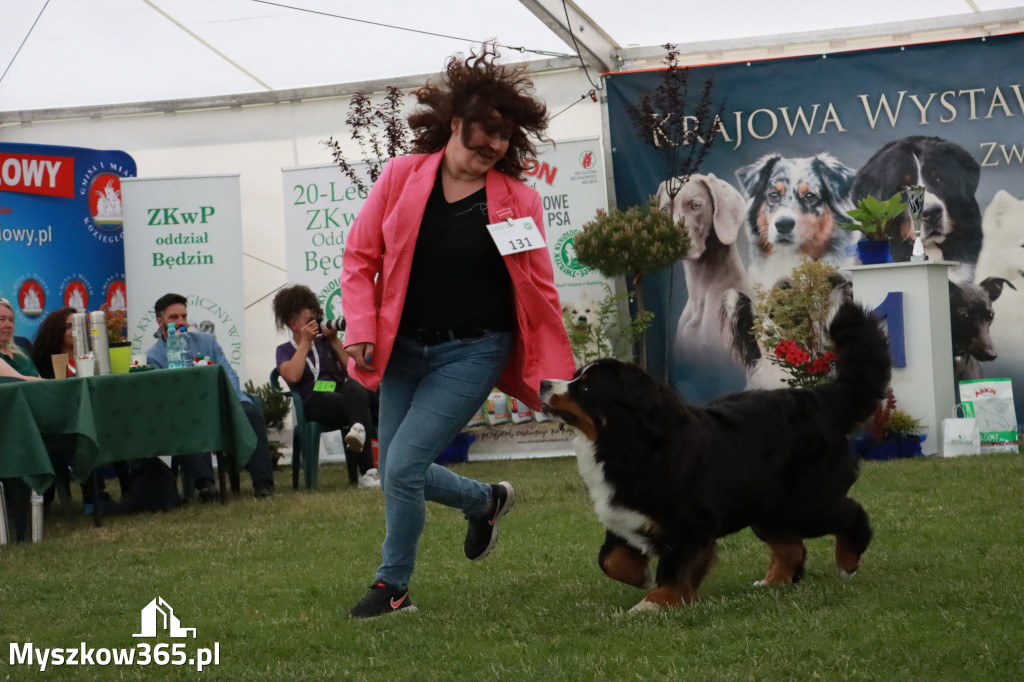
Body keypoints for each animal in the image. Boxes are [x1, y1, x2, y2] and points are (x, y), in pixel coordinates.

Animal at [540, 303, 892, 610]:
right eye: (575, 376)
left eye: (586, 388)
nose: (543, 382)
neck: (625, 443)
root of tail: (818, 398)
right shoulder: (625, 515)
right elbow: (609, 559)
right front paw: (640, 577)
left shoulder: (691, 525)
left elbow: (672, 570)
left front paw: (655, 603)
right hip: (767, 506)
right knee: (791, 546)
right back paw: (773, 582)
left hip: (803, 504)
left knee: (852, 514)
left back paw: (847, 564)